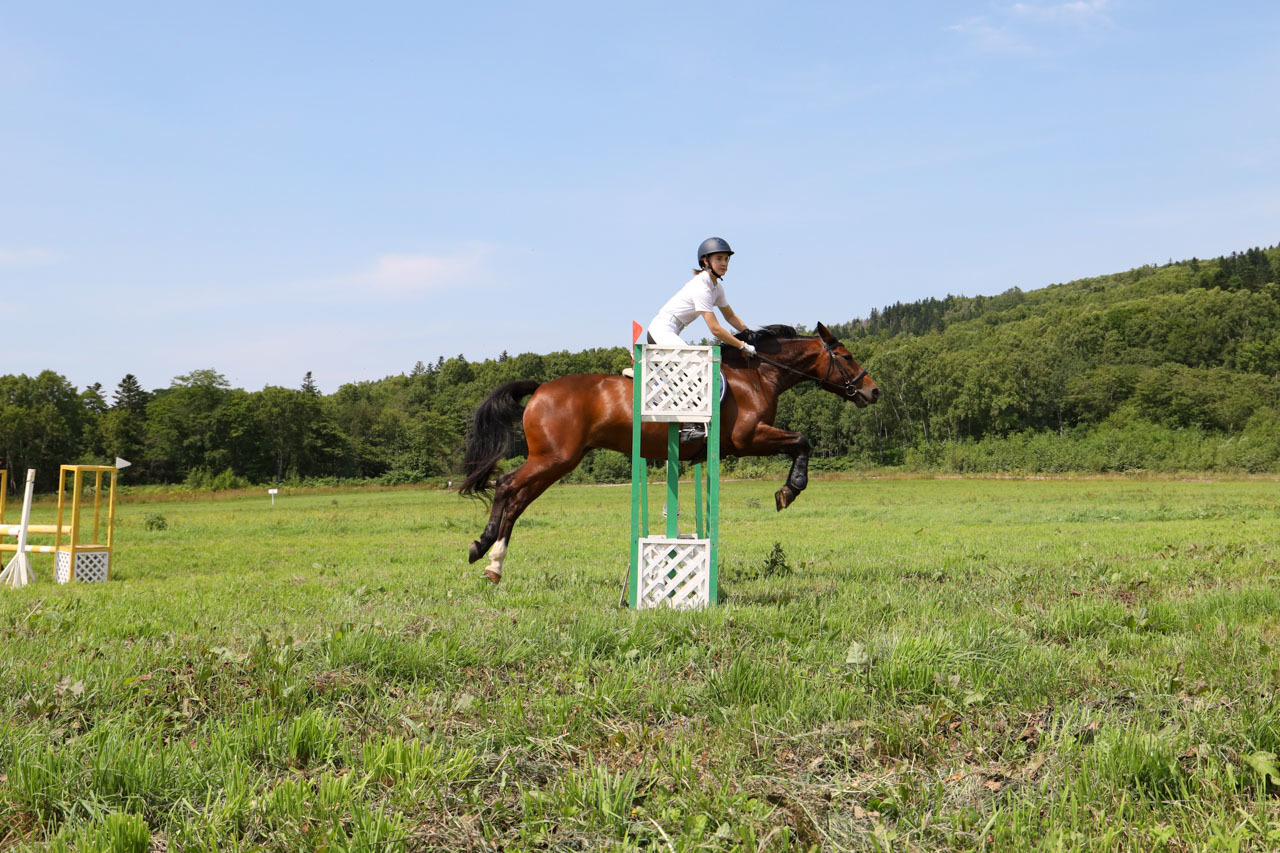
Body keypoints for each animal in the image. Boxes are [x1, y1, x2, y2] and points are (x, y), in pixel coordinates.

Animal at [458, 322, 880, 581]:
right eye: (846, 357)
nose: (874, 391)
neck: (758, 376)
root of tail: (541, 388)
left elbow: (799, 442)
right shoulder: (749, 439)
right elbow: (802, 441)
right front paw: (789, 491)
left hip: (557, 462)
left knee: (517, 498)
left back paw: (493, 561)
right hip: (553, 458)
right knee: (505, 485)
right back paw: (482, 548)